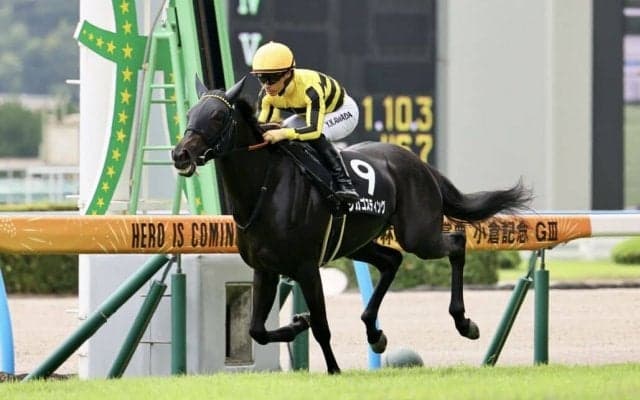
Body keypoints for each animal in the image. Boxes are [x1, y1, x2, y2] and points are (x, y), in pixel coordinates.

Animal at [171, 76, 532, 374]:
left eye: (218, 116)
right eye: (190, 113)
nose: (180, 154)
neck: (266, 187)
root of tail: (418, 162)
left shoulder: (306, 267)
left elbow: (321, 325)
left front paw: (333, 369)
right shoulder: (265, 268)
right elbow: (256, 330)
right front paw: (297, 325)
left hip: (418, 234)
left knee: (455, 243)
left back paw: (464, 323)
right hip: (357, 242)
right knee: (392, 260)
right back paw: (375, 333)